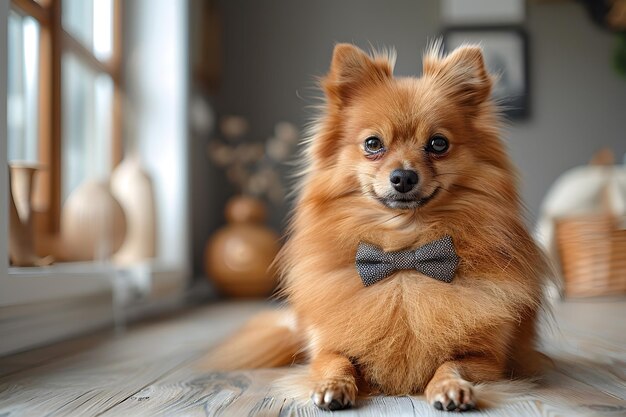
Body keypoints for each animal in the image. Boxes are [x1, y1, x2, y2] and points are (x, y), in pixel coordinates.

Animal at [205, 42, 544, 410]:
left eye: (438, 144)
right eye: (373, 144)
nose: (403, 177)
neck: (403, 253)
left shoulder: (488, 358)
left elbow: (451, 364)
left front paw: (449, 387)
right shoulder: (324, 346)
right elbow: (336, 360)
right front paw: (333, 386)